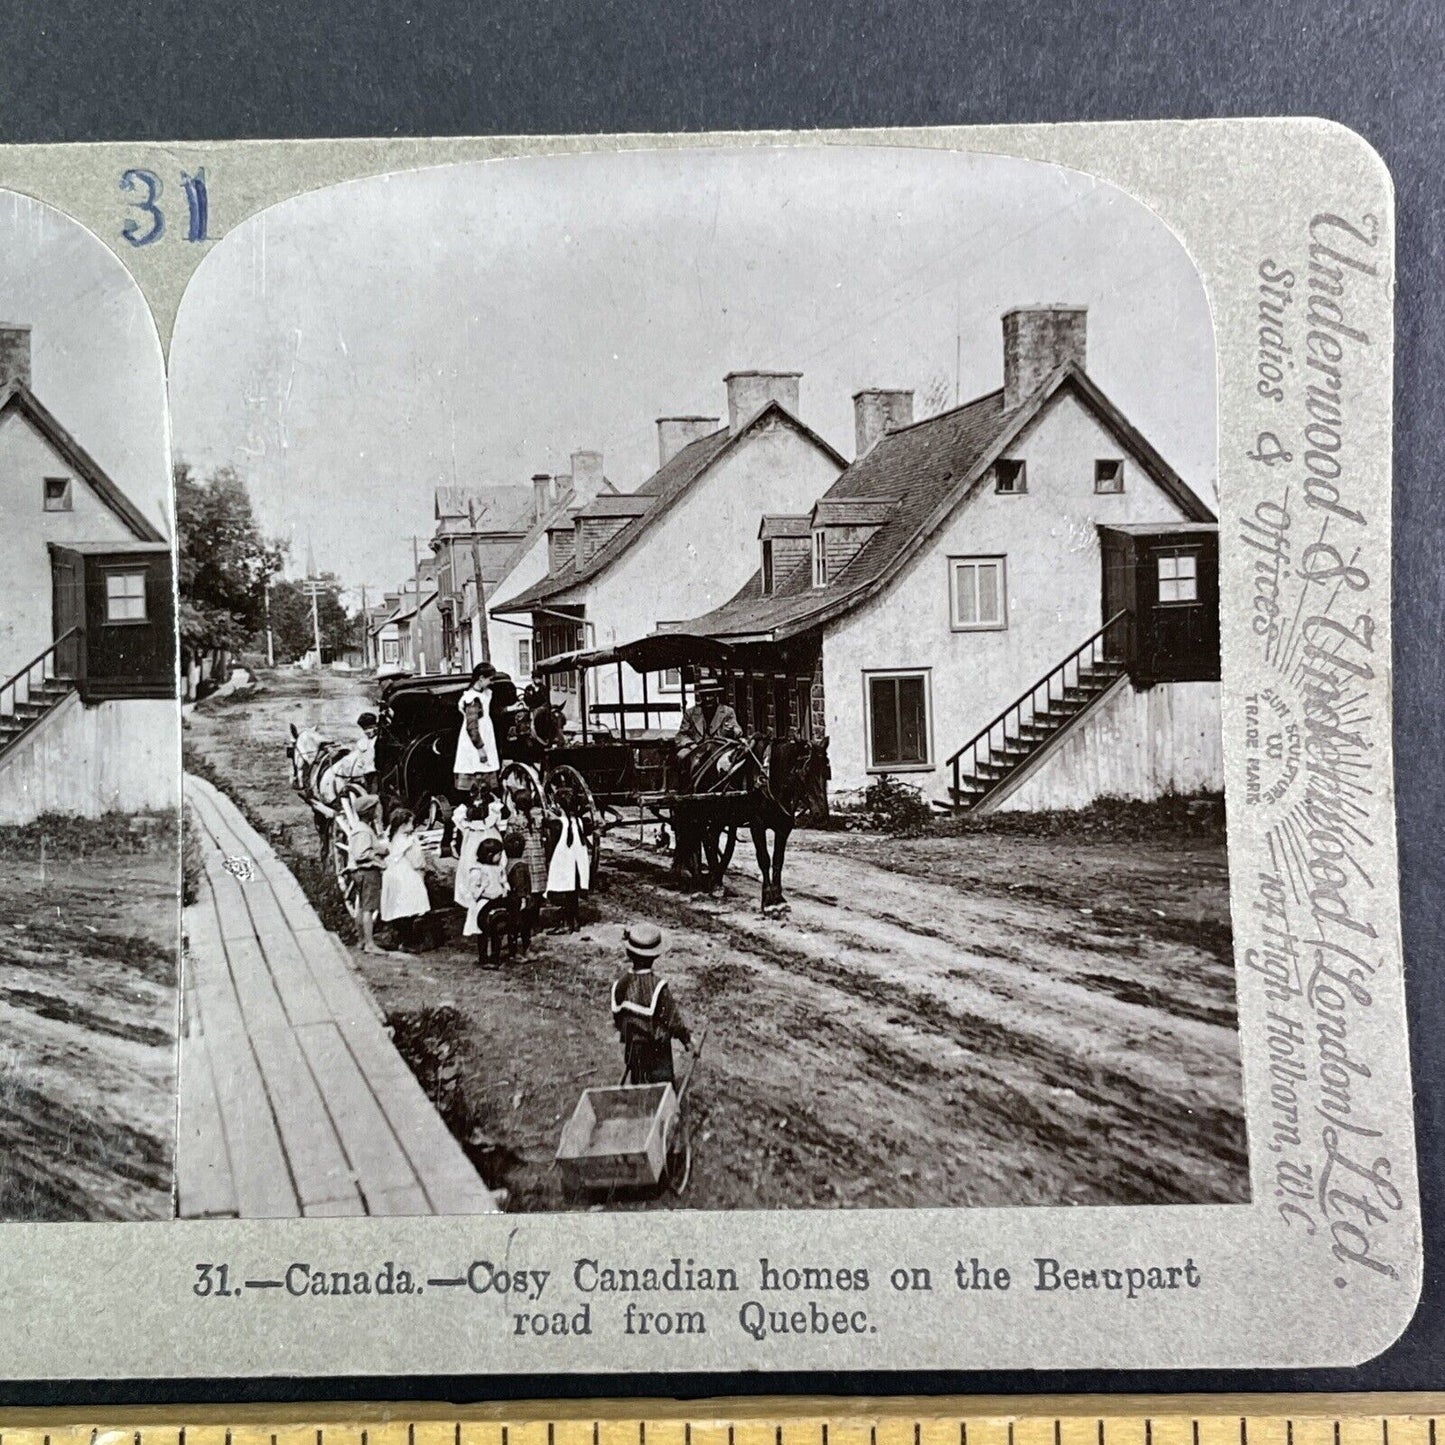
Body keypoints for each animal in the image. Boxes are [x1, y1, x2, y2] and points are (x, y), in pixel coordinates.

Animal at [670, 739, 832, 907]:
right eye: (805, 772)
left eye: (826, 772)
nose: (821, 815)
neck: (768, 776)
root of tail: (692, 753)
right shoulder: (757, 824)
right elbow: (764, 859)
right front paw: (767, 899)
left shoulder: (783, 827)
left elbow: (778, 860)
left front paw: (778, 897)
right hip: (694, 810)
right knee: (690, 836)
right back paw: (687, 876)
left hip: (719, 815)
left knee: (710, 839)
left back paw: (715, 883)